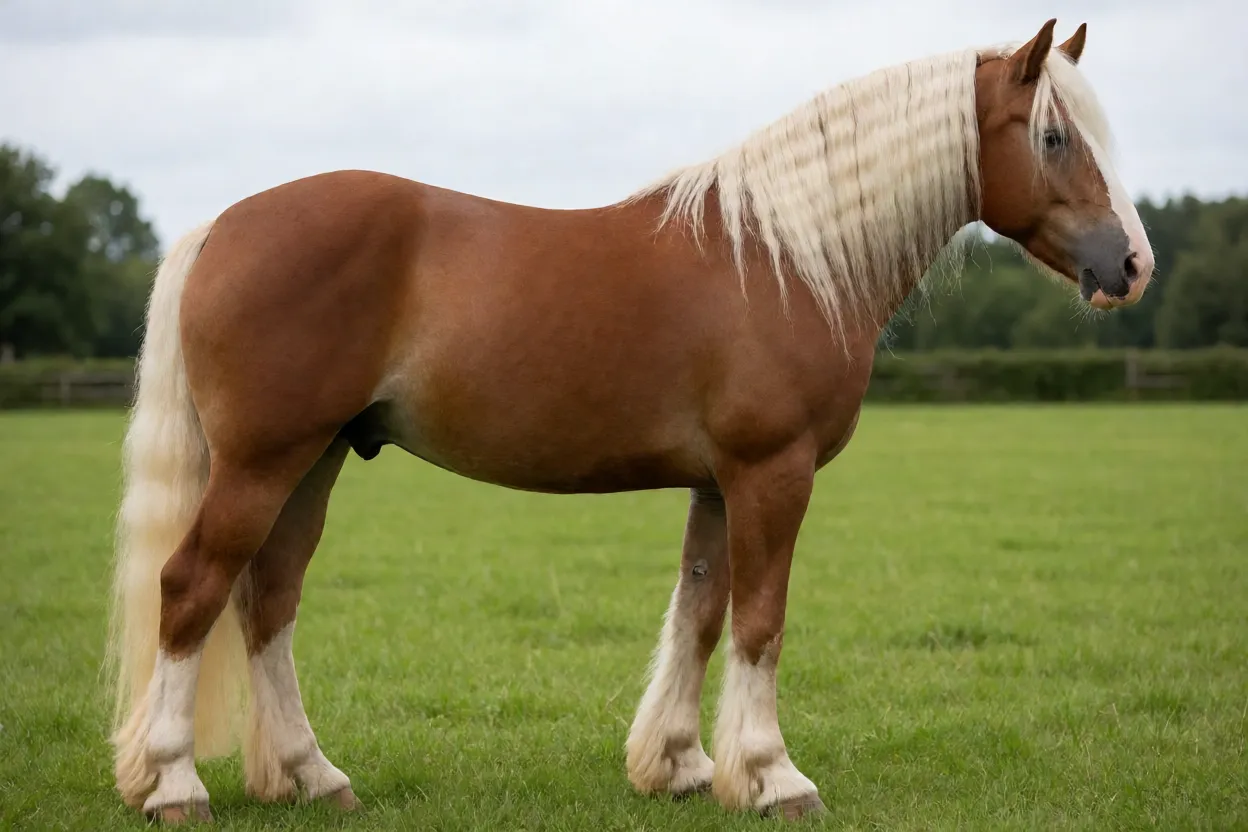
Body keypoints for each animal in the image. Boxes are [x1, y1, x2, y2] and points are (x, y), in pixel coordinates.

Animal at [105, 18, 1153, 823]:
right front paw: (774, 777)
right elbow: (760, 619)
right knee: (193, 588)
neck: (783, 257)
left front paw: (683, 765)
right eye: (1053, 138)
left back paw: (312, 776)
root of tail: (220, 227)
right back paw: (176, 786)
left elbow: (701, 612)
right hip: (262, 463)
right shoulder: (772, 471)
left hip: (314, 459)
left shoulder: (720, 483)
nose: (1131, 265)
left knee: (267, 600)